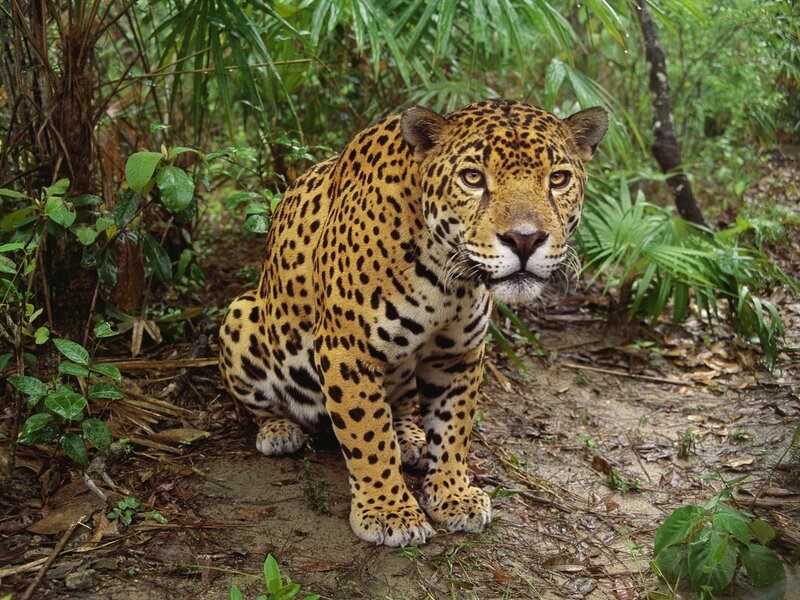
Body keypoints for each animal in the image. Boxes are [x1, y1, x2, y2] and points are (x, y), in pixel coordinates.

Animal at [219, 98, 608, 547]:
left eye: (558, 179)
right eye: (473, 178)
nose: (524, 240)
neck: (449, 278)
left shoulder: (459, 353)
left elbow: (455, 428)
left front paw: (453, 494)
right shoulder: (347, 349)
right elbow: (367, 434)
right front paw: (389, 511)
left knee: (403, 406)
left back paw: (411, 439)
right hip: (241, 316)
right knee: (260, 404)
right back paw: (279, 430)